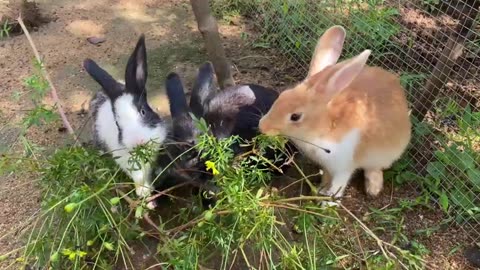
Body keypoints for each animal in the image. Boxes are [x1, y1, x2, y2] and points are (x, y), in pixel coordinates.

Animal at [258, 25, 412, 198]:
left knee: (374, 168)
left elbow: (338, 186)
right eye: (282, 95)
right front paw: (320, 189)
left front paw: (328, 200)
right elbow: (326, 177)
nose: (262, 126)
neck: (323, 130)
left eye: (295, 116)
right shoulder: (327, 167)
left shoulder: (343, 168)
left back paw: (373, 189)